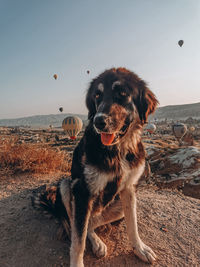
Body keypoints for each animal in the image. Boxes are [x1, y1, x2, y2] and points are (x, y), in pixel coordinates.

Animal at [32, 67, 159, 267]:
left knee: (90, 224)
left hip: (116, 207)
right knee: (77, 225)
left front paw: (140, 248)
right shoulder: (82, 190)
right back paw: (95, 242)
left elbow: (133, 225)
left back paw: (98, 242)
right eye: (97, 95)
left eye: (122, 93)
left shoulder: (129, 189)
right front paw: (77, 263)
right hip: (66, 187)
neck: (118, 150)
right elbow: (78, 241)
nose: (99, 121)